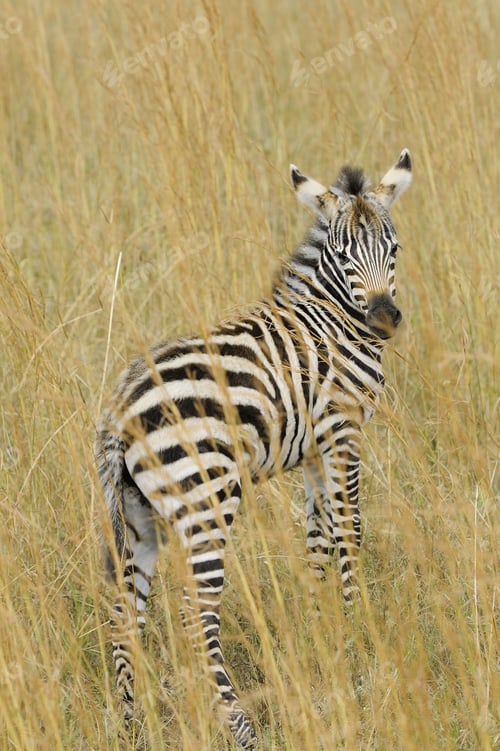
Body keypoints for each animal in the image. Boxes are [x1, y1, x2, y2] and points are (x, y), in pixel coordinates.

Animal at [96, 149, 412, 748]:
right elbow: (352, 529)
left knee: (125, 612)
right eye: (342, 254)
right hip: (205, 503)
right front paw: (359, 630)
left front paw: (320, 633)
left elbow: (318, 539)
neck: (332, 318)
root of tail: (119, 412)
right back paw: (240, 726)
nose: (385, 320)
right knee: (195, 615)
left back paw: (130, 724)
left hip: (140, 514)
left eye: (394, 248)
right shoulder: (343, 429)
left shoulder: (313, 448)